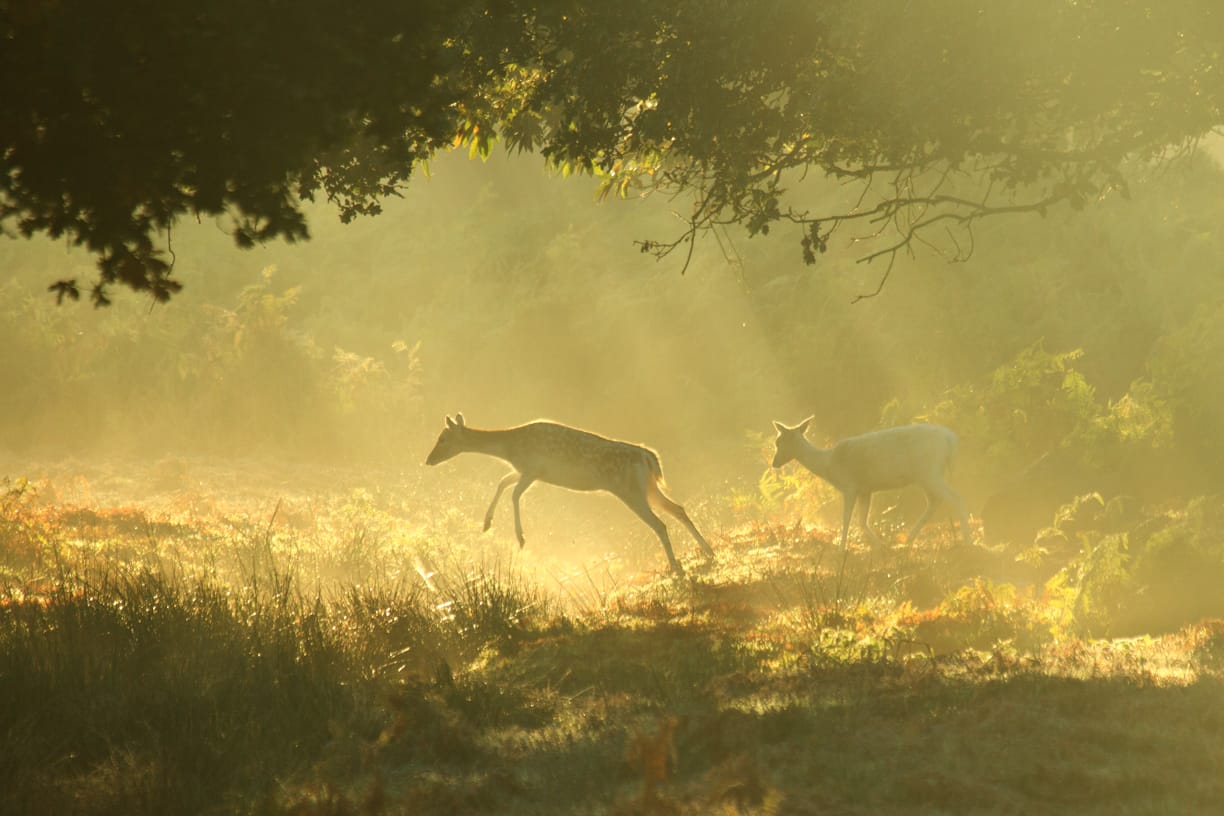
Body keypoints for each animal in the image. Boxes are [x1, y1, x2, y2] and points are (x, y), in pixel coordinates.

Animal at [425, 413, 715, 574]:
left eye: (443, 439)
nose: (428, 460)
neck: (509, 448)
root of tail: (649, 457)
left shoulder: (533, 469)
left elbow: (513, 493)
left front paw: (520, 538)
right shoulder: (527, 471)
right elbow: (502, 482)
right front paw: (486, 524)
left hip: (630, 490)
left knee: (660, 524)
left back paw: (675, 566)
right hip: (649, 488)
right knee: (678, 509)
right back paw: (708, 551)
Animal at [770, 417, 971, 551]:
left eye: (780, 441)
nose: (774, 463)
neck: (829, 465)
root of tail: (951, 440)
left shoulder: (849, 486)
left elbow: (846, 519)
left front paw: (842, 548)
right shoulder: (865, 490)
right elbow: (862, 521)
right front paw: (880, 546)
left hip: (929, 471)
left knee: (956, 497)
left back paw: (967, 540)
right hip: (926, 475)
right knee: (935, 501)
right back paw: (908, 539)